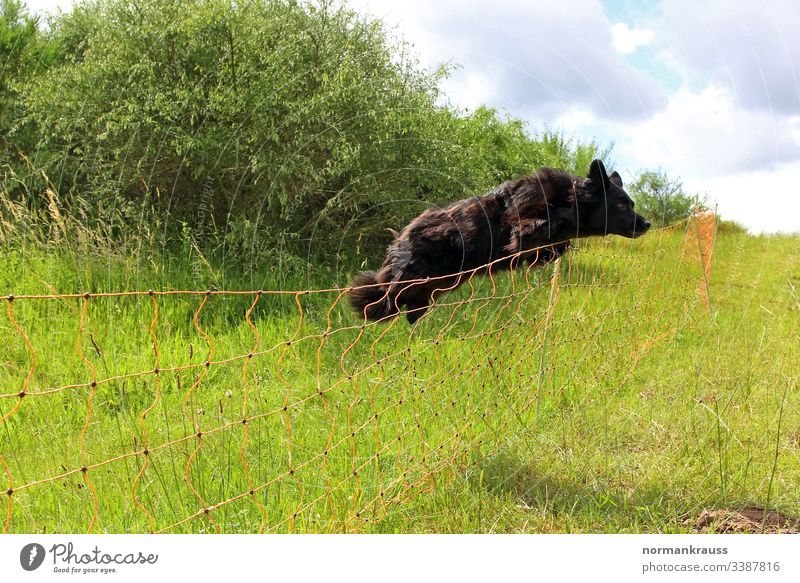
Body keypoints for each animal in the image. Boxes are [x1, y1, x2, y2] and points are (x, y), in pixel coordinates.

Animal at [350, 160, 648, 324]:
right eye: (622, 204)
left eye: (631, 203)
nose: (647, 224)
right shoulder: (519, 218)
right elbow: (541, 223)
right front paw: (558, 222)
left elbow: (555, 248)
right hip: (417, 270)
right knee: (385, 294)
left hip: (443, 282)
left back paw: (413, 312)